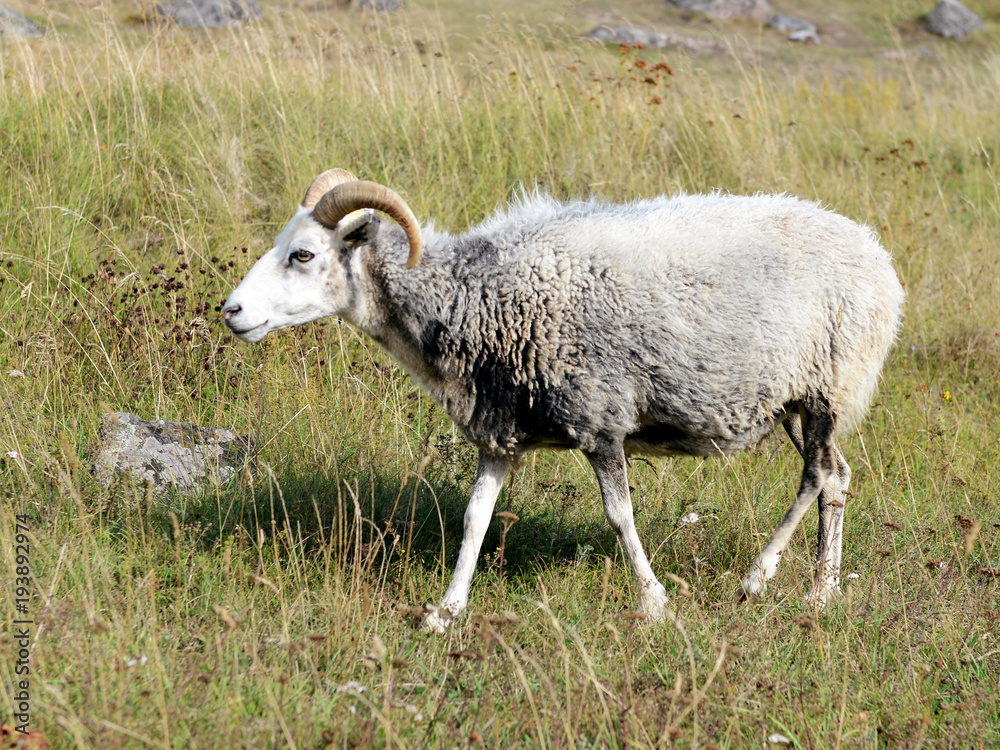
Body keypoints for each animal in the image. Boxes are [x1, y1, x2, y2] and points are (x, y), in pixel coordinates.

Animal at [222, 168, 904, 631]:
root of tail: (875, 254)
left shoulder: (599, 420)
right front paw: (447, 610)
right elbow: (475, 518)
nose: (231, 311)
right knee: (838, 476)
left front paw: (654, 603)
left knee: (817, 475)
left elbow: (619, 515)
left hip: (827, 386)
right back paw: (823, 589)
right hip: (793, 402)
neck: (472, 298)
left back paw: (761, 579)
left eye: (303, 254)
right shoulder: (499, 430)